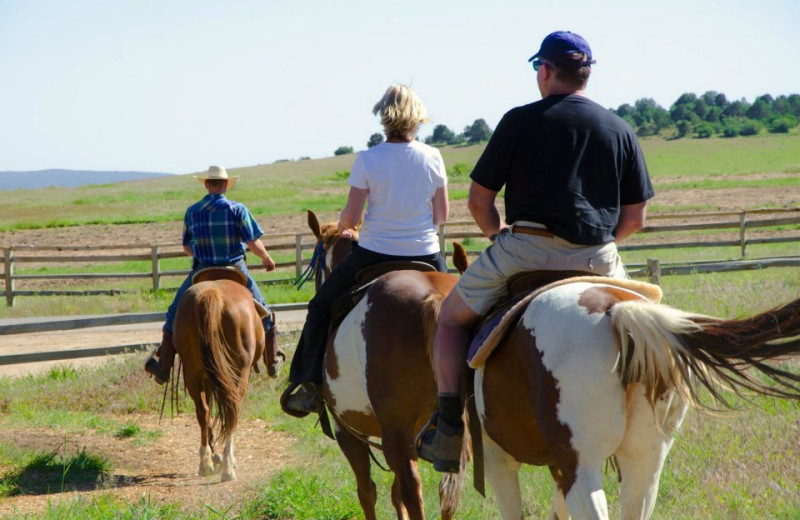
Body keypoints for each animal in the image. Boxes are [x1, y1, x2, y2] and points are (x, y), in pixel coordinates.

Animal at [172, 268, 282, 484]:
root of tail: (212, 294)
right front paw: (224, 459)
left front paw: (215, 456)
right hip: (239, 371)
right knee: (233, 409)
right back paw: (228, 467)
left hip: (193, 371)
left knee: (203, 412)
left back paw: (206, 463)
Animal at [304, 210, 472, 520]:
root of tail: (434, 297)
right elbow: (394, 494)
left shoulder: (348, 431)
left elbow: (367, 492)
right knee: (445, 493)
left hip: (395, 431)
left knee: (411, 487)